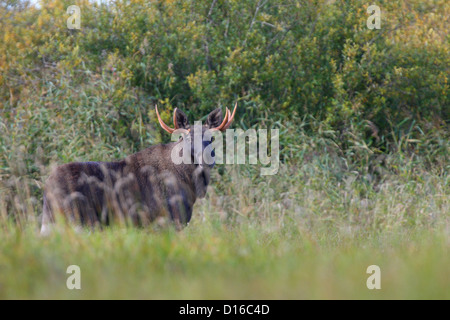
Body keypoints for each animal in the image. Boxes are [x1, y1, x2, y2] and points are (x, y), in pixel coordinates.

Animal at [40, 104, 237, 234]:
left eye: (211, 138)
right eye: (187, 138)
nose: (205, 159)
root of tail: (47, 188)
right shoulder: (168, 219)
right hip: (79, 220)